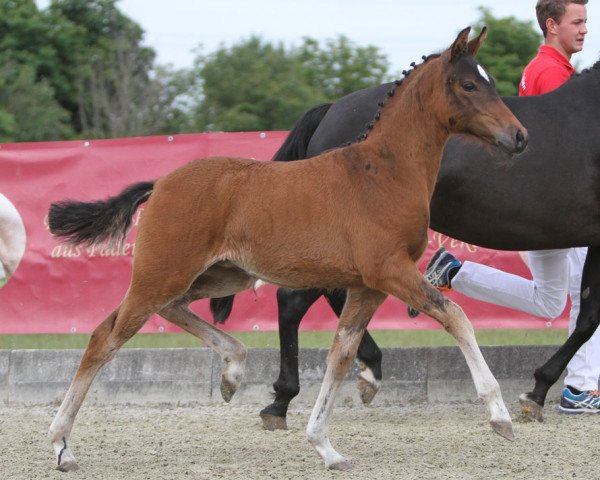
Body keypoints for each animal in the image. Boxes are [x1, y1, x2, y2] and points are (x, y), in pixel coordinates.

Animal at [49, 28, 528, 470]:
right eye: (469, 85)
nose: (519, 136)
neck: (384, 175)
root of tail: (161, 183)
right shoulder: (390, 271)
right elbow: (456, 317)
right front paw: (500, 418)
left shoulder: (367, 286)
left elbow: (341, 355)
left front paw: (325, 447)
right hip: (162, 273)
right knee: (104, 338)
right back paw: (61, 445)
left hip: (219, 275)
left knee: (169, 310)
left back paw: (233, 370)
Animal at [213, 54, 600, 426]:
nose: (519, 138)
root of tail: (332, 109)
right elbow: (588, 319)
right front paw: (537, 392)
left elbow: (587, 316)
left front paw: (540, 391)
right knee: (294, 300)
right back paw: (282, 399)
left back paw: (368, 366)